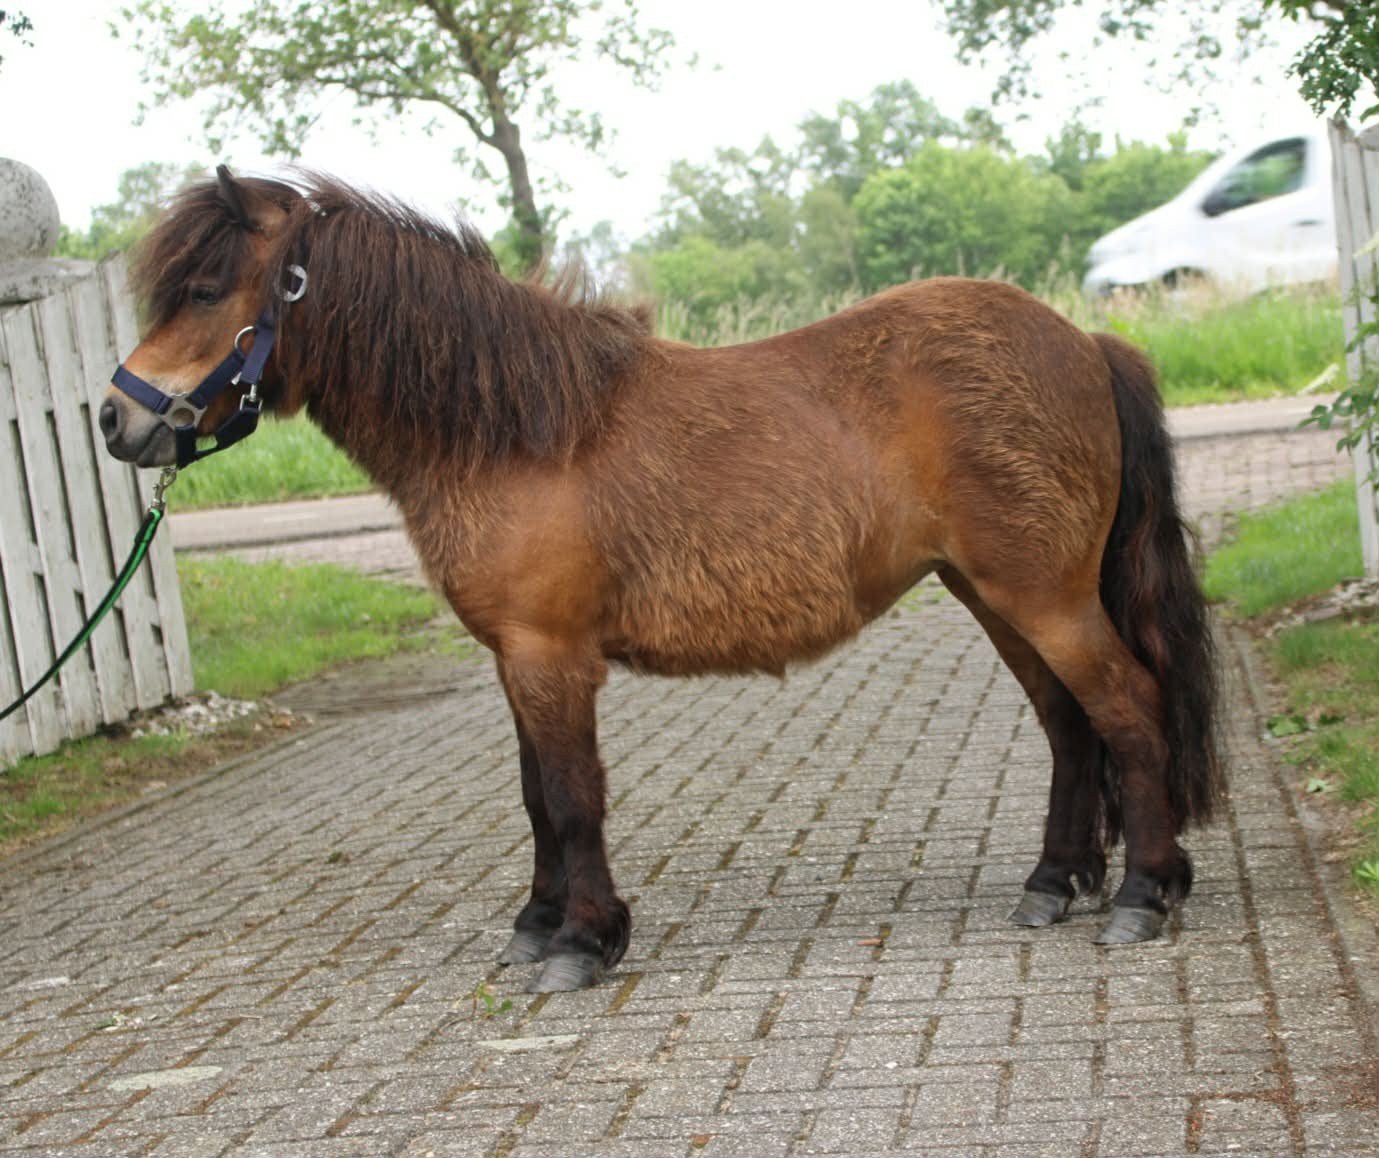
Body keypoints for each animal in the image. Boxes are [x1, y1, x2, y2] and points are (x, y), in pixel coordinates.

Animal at [99, 167, 1223, 993]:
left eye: (206, 291)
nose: (117, 420)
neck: (509, 429)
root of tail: (1084, 341)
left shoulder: (552, 656)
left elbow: (572, 797)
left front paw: (583, 941)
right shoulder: (515, 659)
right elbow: (534, 797)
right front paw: (537, 922)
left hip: (1043, 597)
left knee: (1126, 708)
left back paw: (1142, 893)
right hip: (992, 596)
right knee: (1068, 724)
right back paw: (1053, 882)